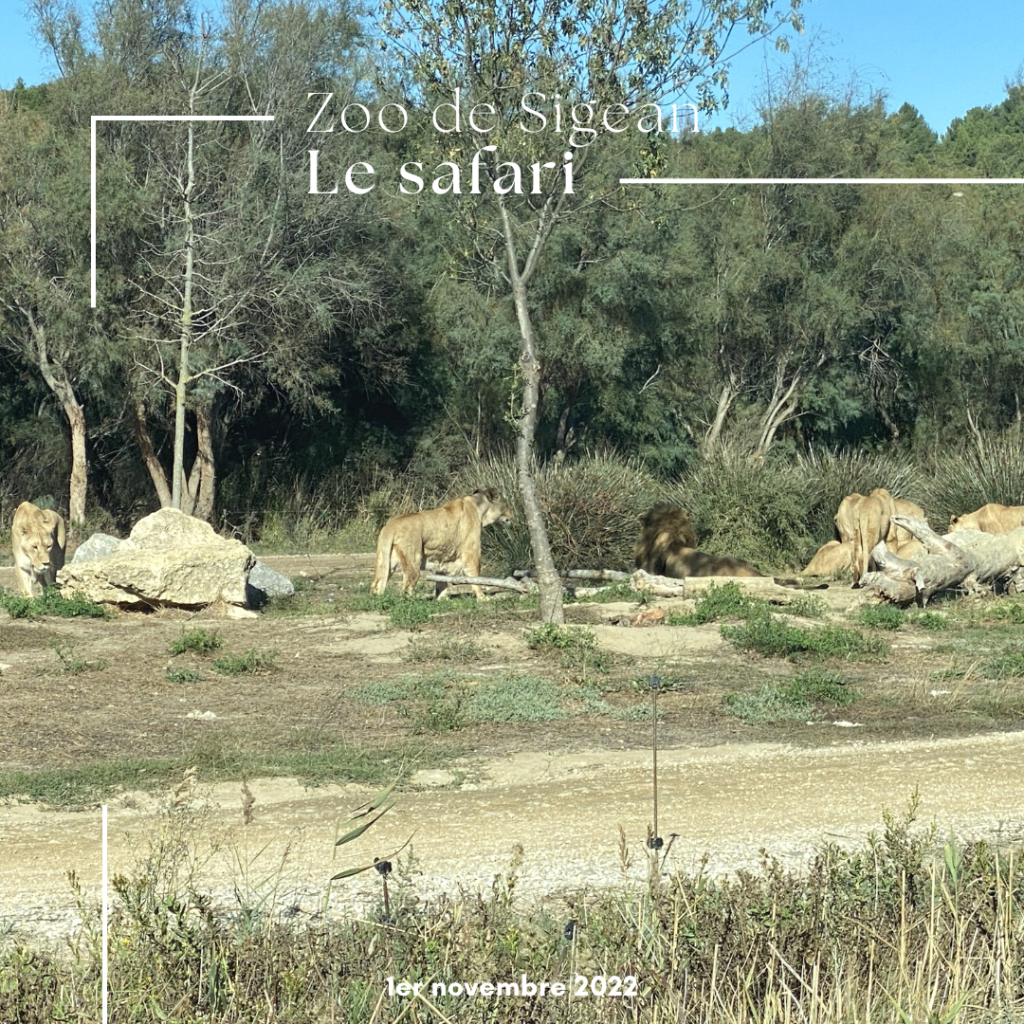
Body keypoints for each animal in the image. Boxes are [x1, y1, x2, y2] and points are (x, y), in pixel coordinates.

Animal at [370, 489, 512, 598]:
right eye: (506, 504)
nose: (512, 514)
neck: (480, 509)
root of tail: (390, 526)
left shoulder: (443, 557)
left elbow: (441, 581)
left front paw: (442, 599)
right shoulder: (471, 551)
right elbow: (474, 575)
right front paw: (482, 598)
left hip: (387, 560)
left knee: (377, 583)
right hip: (413, 560)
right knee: (406, 587)